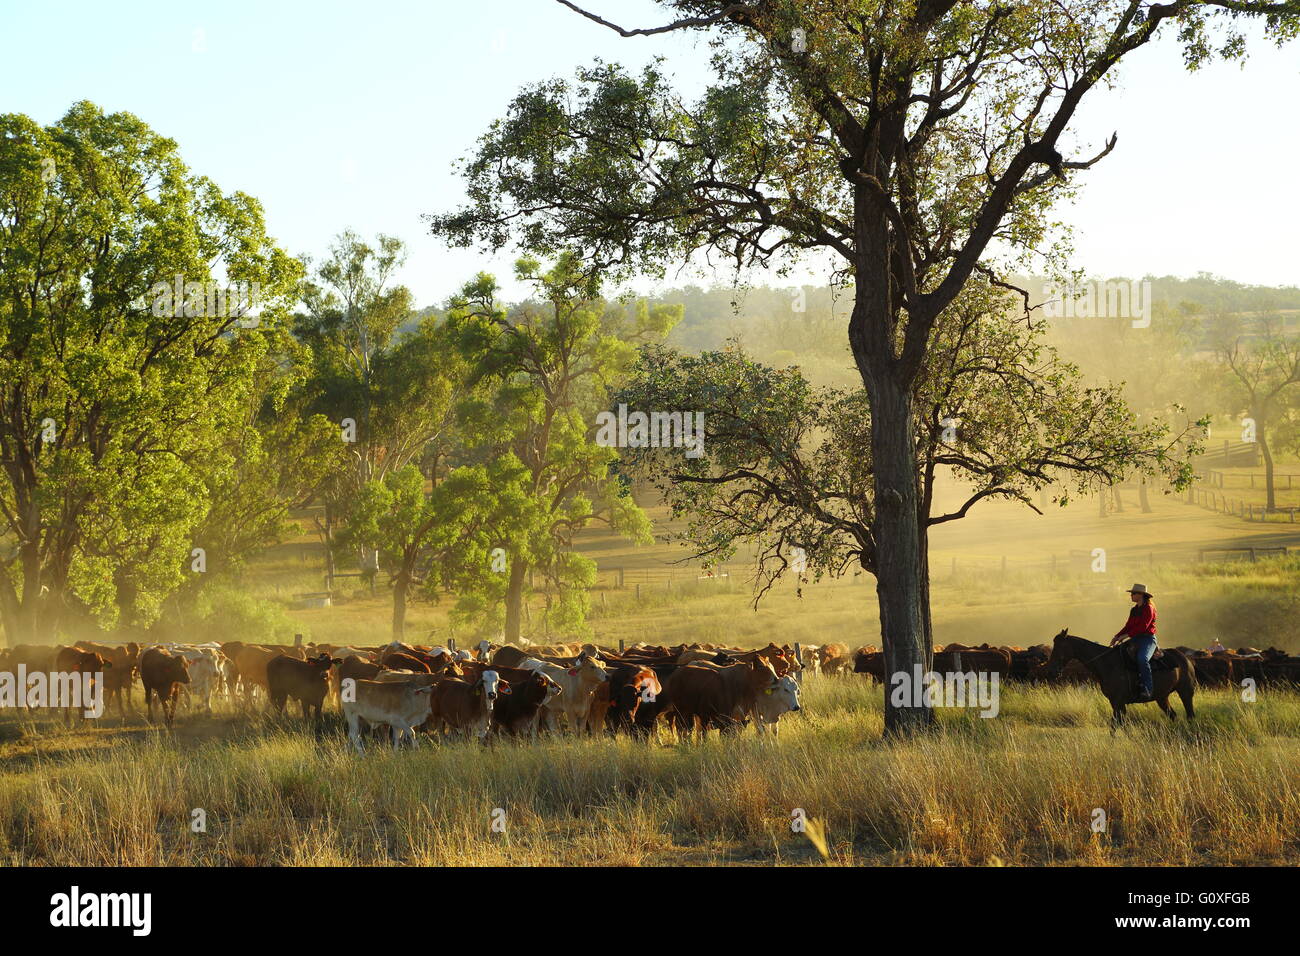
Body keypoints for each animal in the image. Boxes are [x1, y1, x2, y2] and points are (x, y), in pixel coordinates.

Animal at [1045, 629, 1196, 733]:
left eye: (1059, 647)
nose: (1051, 670)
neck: (1107, 663)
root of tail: (1185, 659)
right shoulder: (1115, 703)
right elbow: (1120, 726)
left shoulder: (1119, 702)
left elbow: (1116, 725)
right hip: (1162, 697)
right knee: (1173, 715)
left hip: (1185, 692)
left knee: (1190, 715)